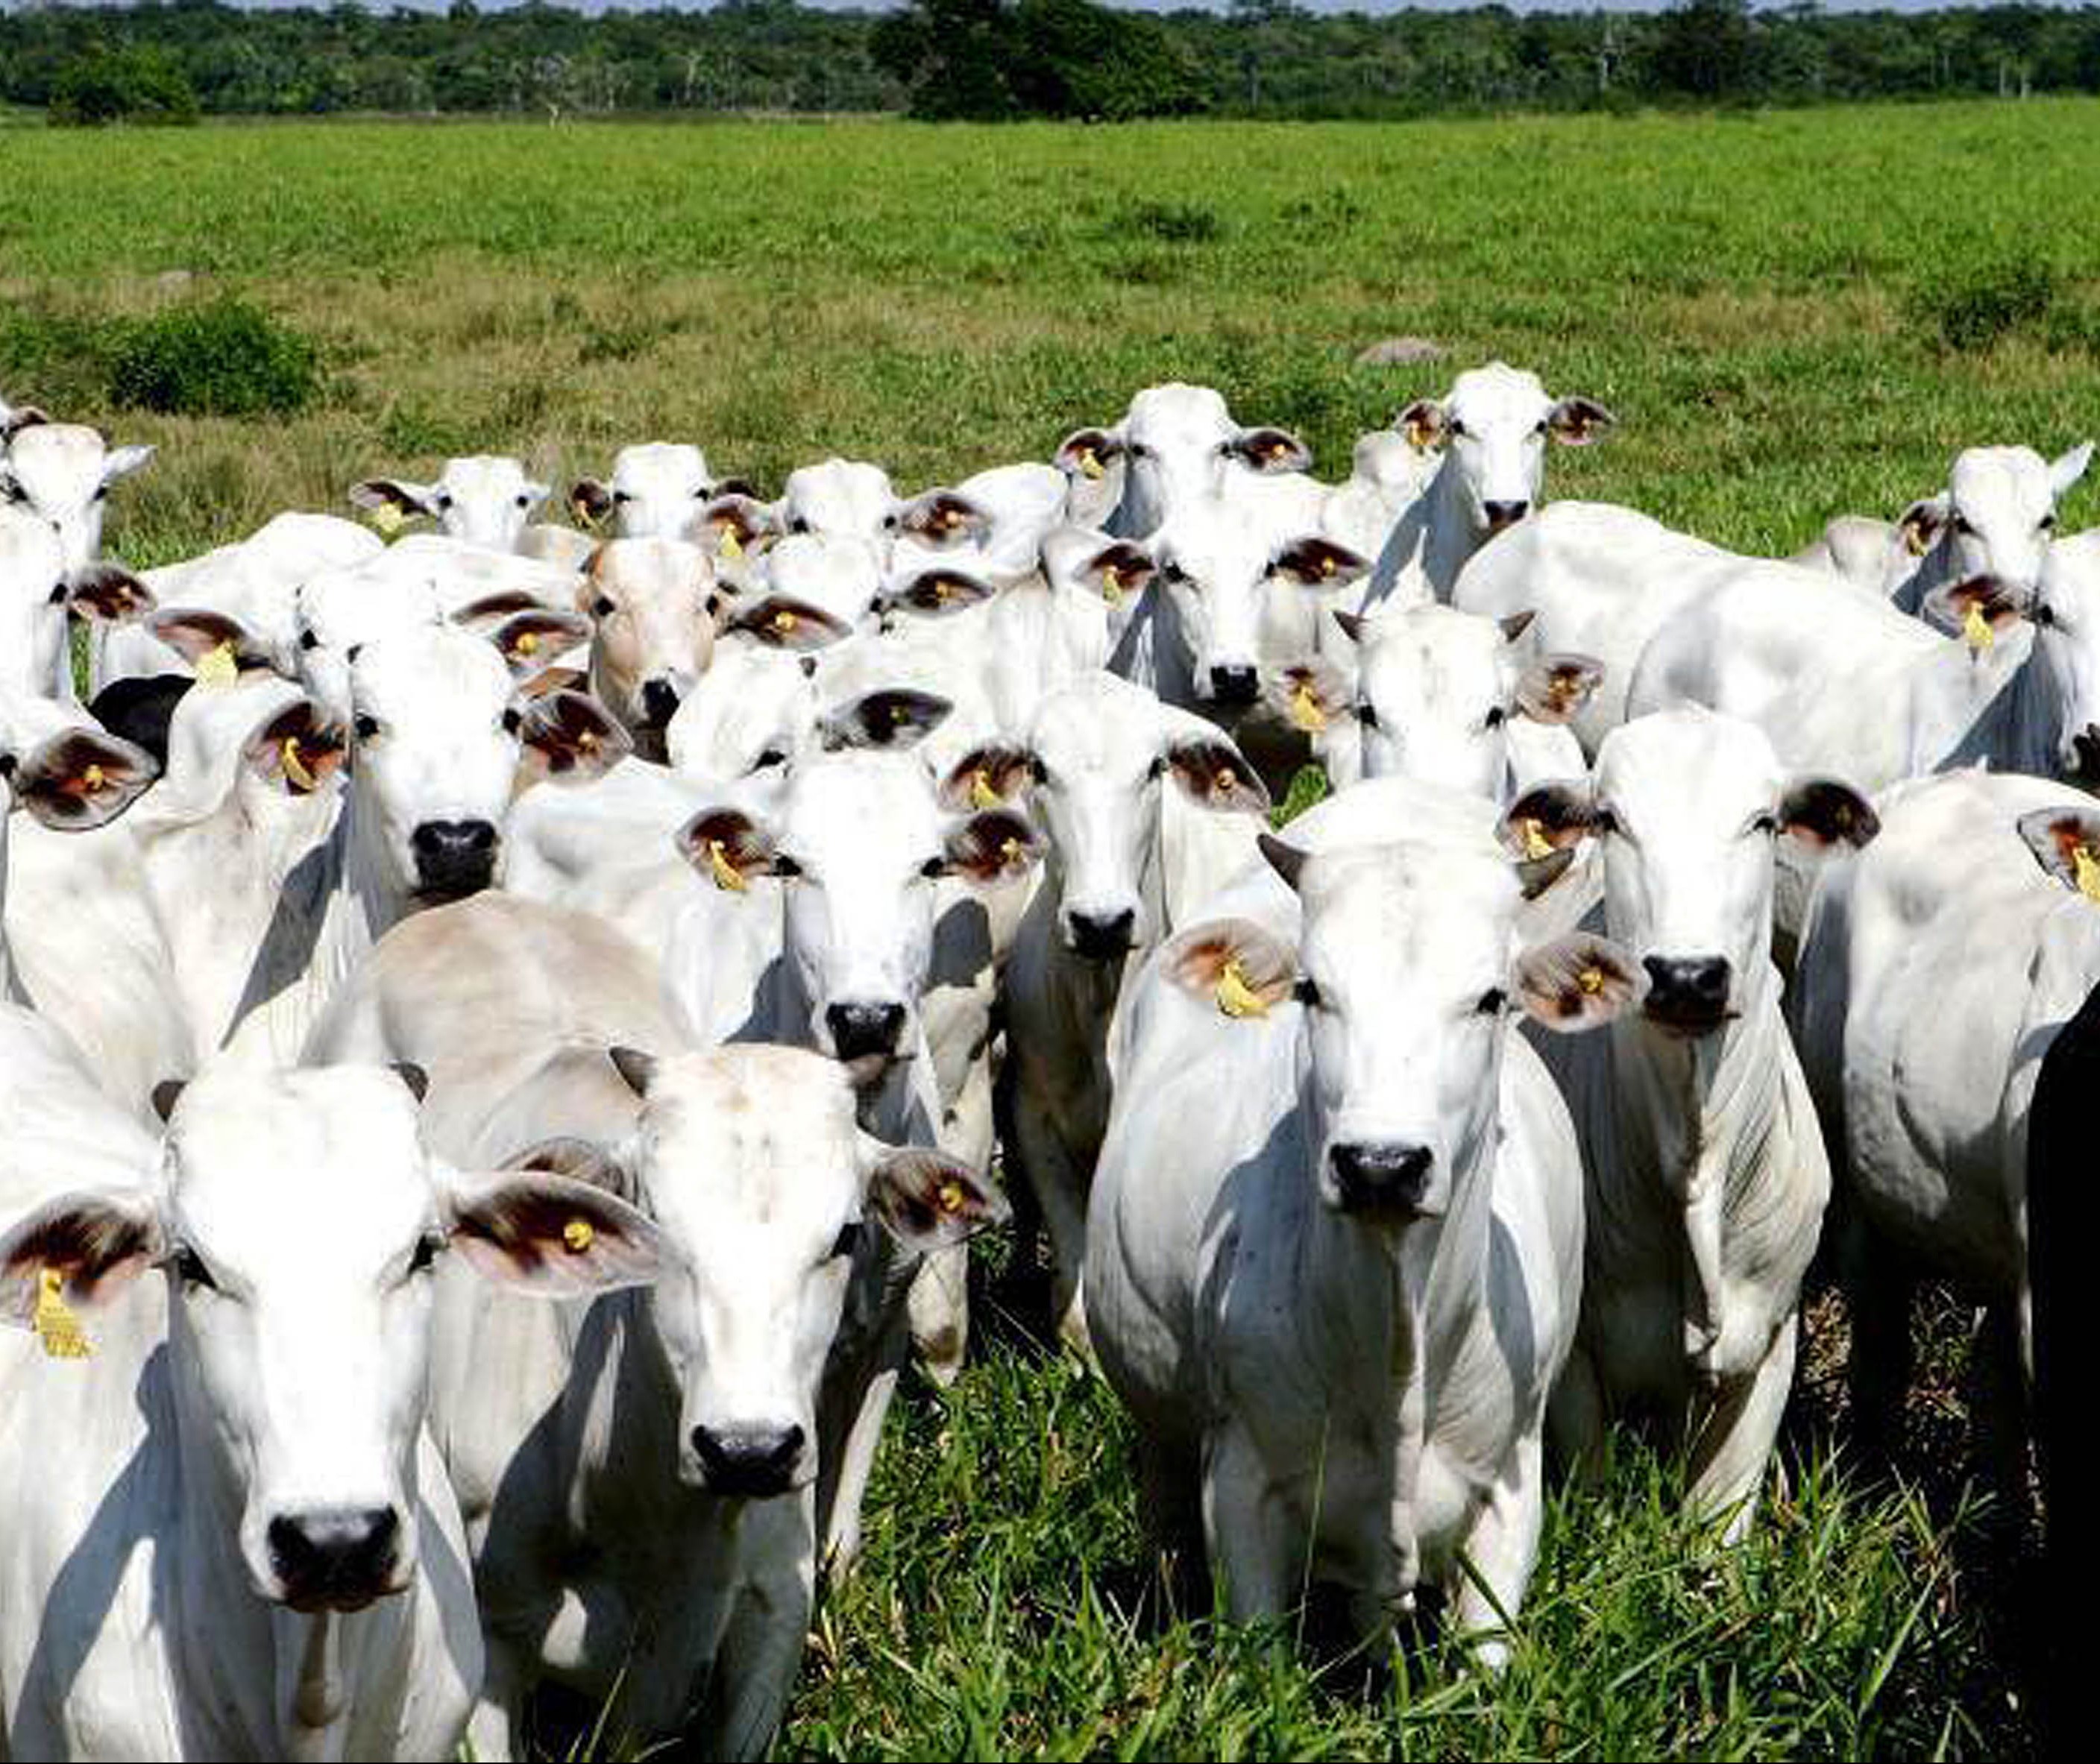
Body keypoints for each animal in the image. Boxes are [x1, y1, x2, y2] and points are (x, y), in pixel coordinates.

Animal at [1512, 710, 1873, 1537]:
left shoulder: (1768, 1342)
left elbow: (1718, 1531)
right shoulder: (1575, 1365)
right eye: (1609, 819)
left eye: (1763, 820)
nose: (1685, 977)